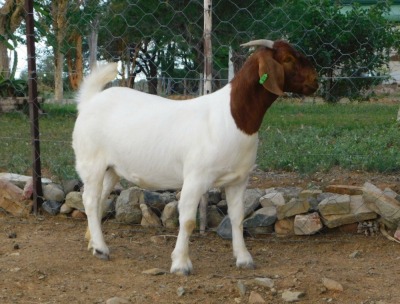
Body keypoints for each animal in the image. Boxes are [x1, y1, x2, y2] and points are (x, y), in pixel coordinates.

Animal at [72, 38, 318, 276]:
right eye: (287, 58)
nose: (315, 81)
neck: (233, 117)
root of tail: (90, 101)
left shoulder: (238, 180)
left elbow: (237, 218)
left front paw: (244, 258)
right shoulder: (195, 177)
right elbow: (188, 220)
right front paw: (181, 264)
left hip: (112, 168)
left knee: (100, 198)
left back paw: (92, 242)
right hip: (91, 162)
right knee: (90, 200)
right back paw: (101, 248)